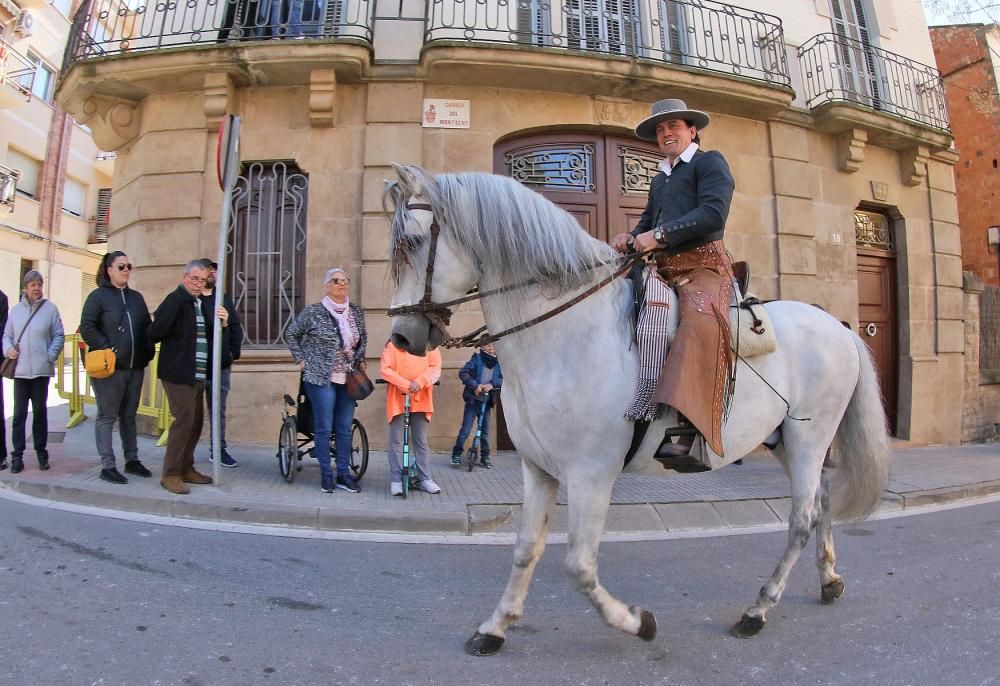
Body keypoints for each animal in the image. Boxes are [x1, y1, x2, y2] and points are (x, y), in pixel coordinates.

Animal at [382, 163, 892, 656]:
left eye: (413, 242)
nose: (402, 337)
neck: (566, 334)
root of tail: (839, 327)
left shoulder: (590, 474)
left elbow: (579, 566)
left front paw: (638, 623)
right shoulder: (537, 469)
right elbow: (527, 548)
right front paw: (495, 627)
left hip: (810, 437)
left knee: (802, 520)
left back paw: (758, 609)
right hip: (785, 439)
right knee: (821, 503)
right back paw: (828, 580)